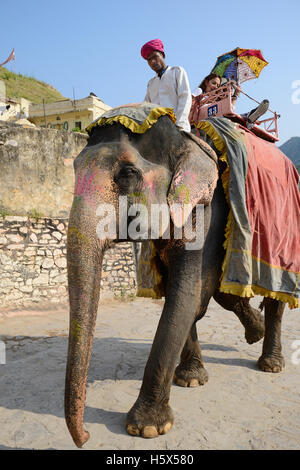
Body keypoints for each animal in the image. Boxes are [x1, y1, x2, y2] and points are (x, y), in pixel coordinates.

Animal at [64, 111, 288, 448]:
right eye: (75, 169)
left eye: (128, 173)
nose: (86, 437)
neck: (185, 140)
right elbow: (185, 296)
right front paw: (190, 379)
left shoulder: (205, 209)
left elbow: (188, 296)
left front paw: (146, 428)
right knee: (226, 294)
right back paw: (255, 333)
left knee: (273, 294)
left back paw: (271, 364)